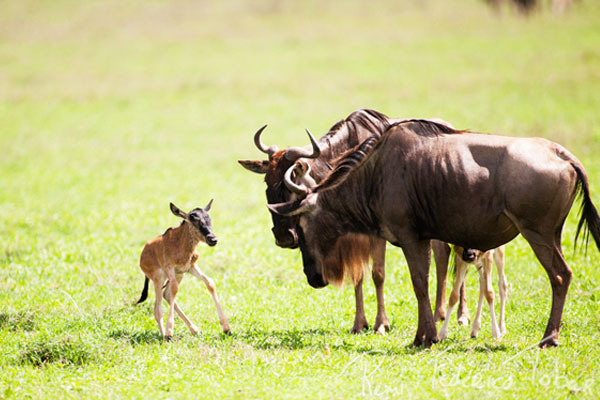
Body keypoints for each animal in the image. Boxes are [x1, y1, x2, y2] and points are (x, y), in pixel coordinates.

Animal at [137, 202, 231, 340]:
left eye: (209, 219)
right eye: (194, 220)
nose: (213, 239)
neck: (180, 243)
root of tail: (142, 256)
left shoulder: (189, 267)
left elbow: (209, 282)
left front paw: (226, 328)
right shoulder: (169, 268)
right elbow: (174, 289)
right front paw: (169, 333)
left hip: (178, 275)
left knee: (167, 295)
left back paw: (194, 330)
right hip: (158, 277)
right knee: (157, 308)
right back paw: (164, 335)